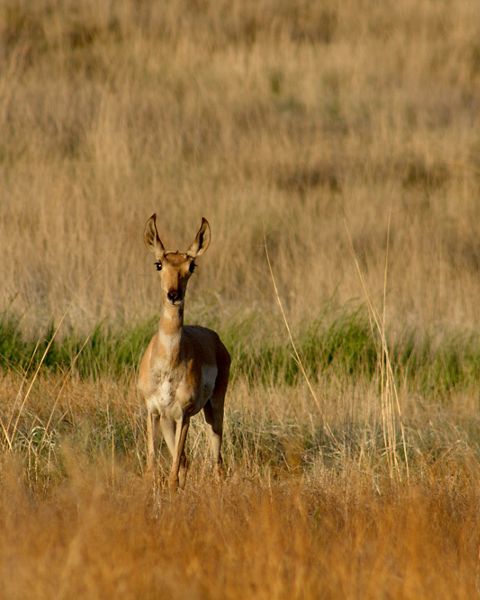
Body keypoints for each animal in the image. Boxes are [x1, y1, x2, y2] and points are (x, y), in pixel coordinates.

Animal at [137, 216, 231, 492]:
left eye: (192, 265)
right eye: (159, 264)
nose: (174, 295)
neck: (168, 363)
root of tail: (215, 339)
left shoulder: (184, 415)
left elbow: (174, 471)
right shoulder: (153, 411)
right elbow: (152, 465)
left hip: (214, 409)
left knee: (217, 459)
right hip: (169, 420)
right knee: (191, 462)